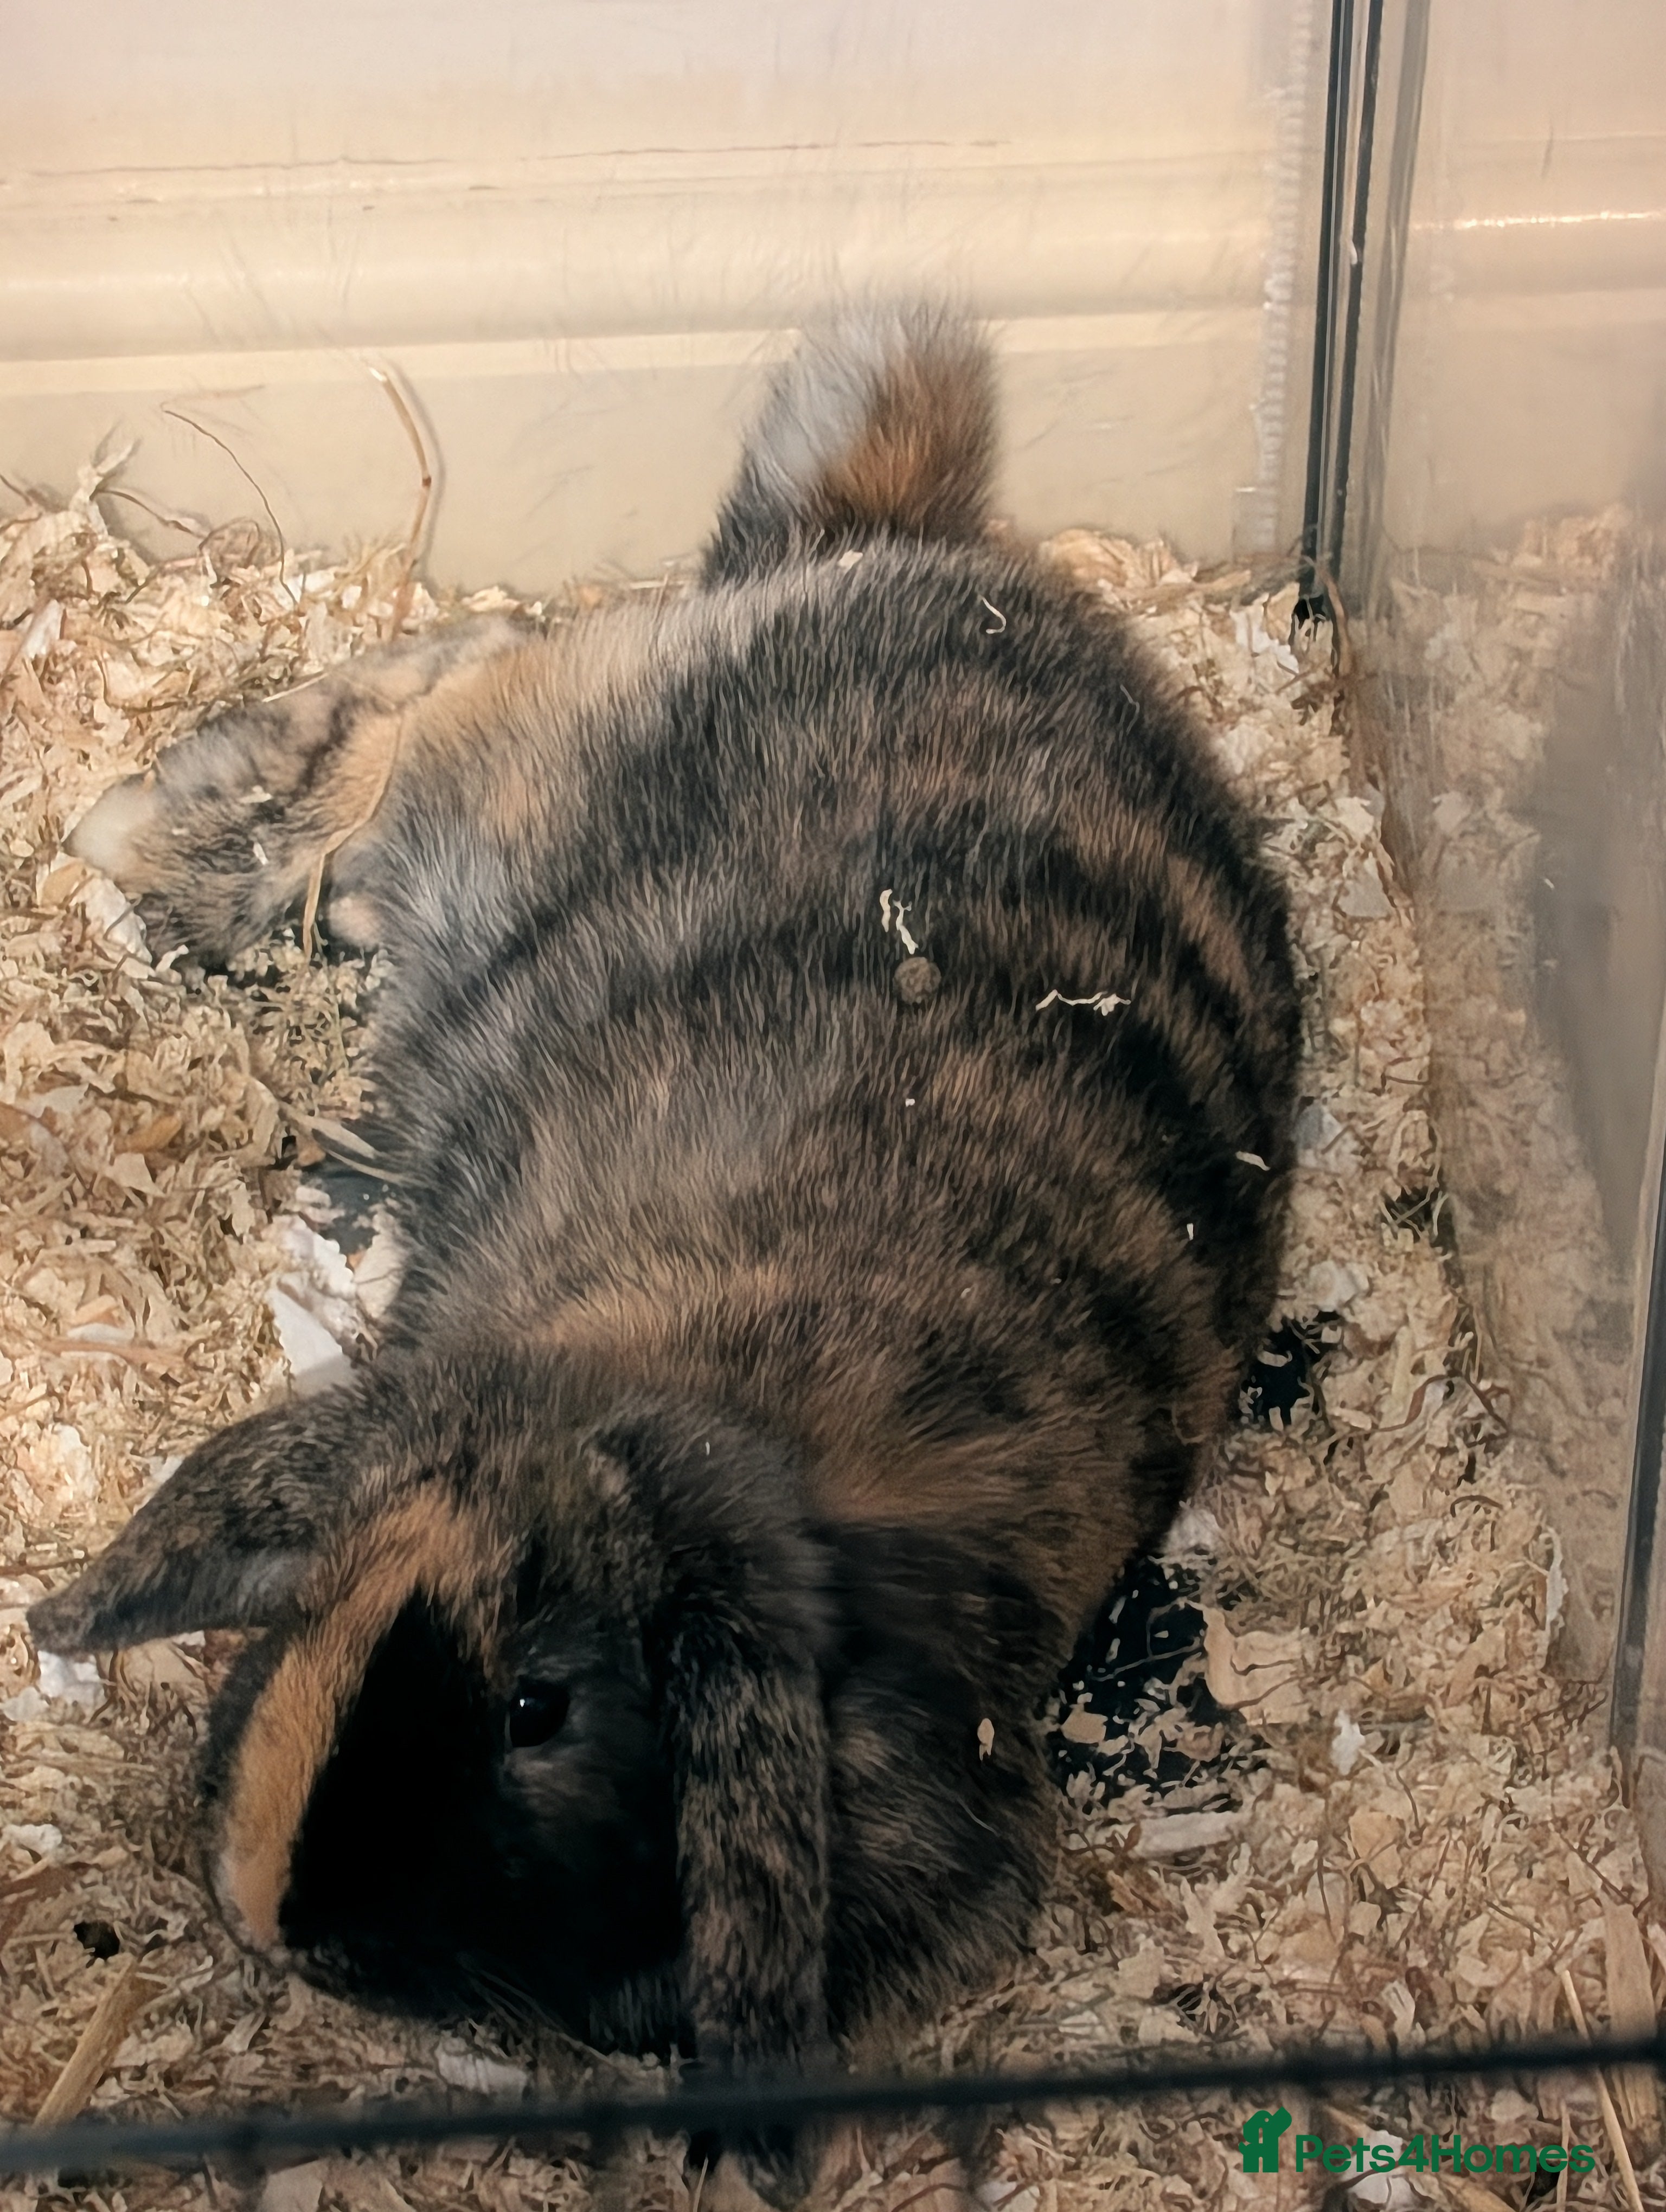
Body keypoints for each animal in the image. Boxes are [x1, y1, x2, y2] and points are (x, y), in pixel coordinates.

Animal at [31, 305, 1301, 2199]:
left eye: (540, 1710)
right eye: (345, 1587)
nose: (270, 1912)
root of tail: (905, 547)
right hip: (494, 773)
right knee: (414, 707)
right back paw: (130, 847)